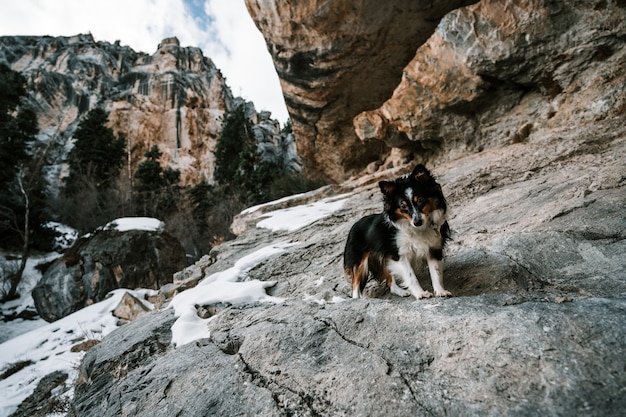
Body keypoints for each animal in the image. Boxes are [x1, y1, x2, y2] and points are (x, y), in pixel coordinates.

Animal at [342, 163, 448, 300]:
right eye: (403, 206)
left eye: (420, 200)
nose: (417, 222)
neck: (417, 229)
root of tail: (354, 225)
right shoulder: (399, 254)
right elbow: (411, 276)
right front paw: (420, 293)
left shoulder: (433, 249)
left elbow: (436, 273)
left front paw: (441, 291)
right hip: (360, 261)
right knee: (355, 284)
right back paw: (357, 300)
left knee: (390, 281)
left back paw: (401, 292)